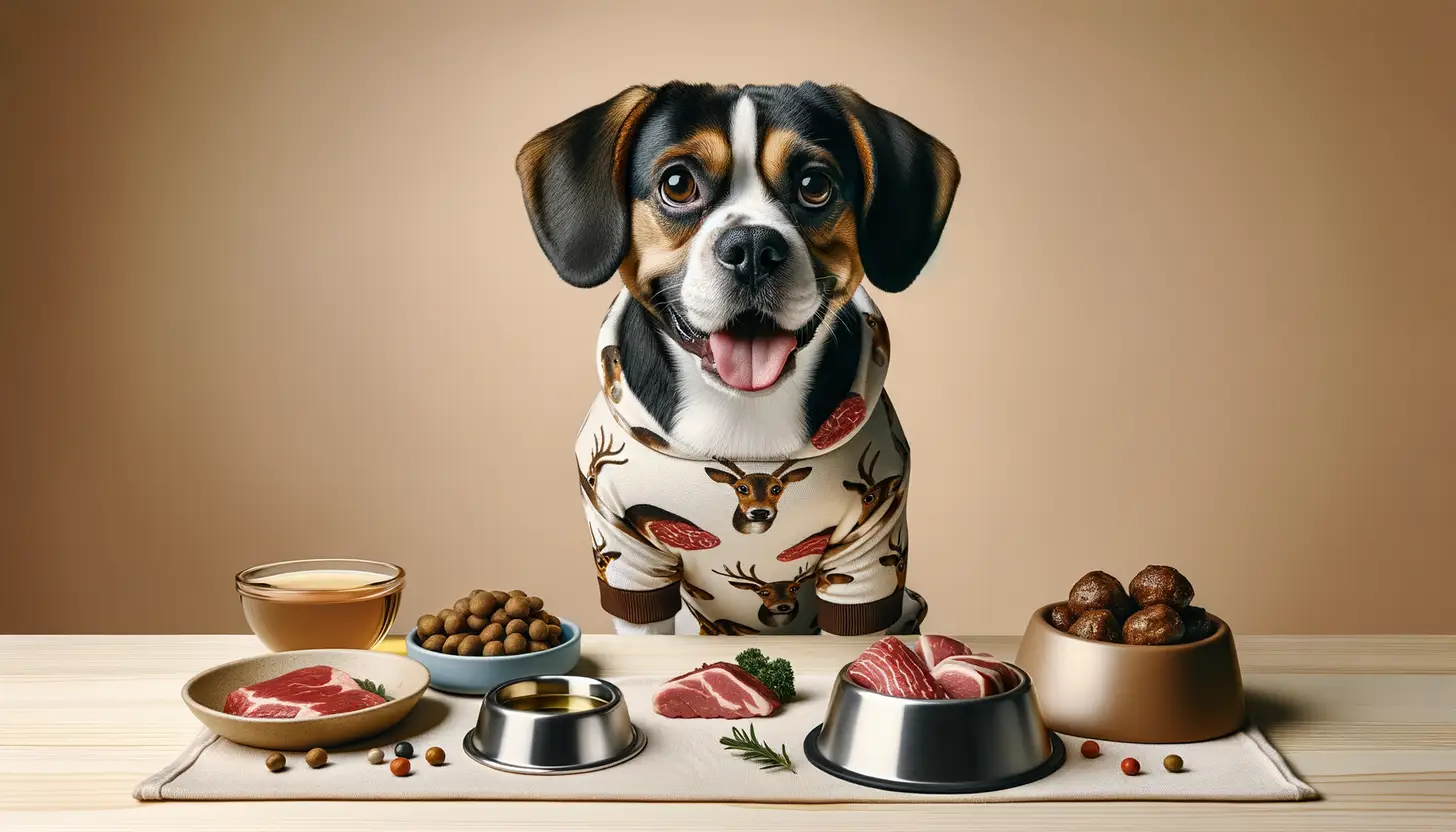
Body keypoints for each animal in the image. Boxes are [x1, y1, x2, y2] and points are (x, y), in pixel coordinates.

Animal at [518, 83, 960, 638]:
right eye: (677, 184)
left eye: (814, 185)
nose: (752, 247)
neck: (742, 418)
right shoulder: (630, 561)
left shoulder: (867, 560)